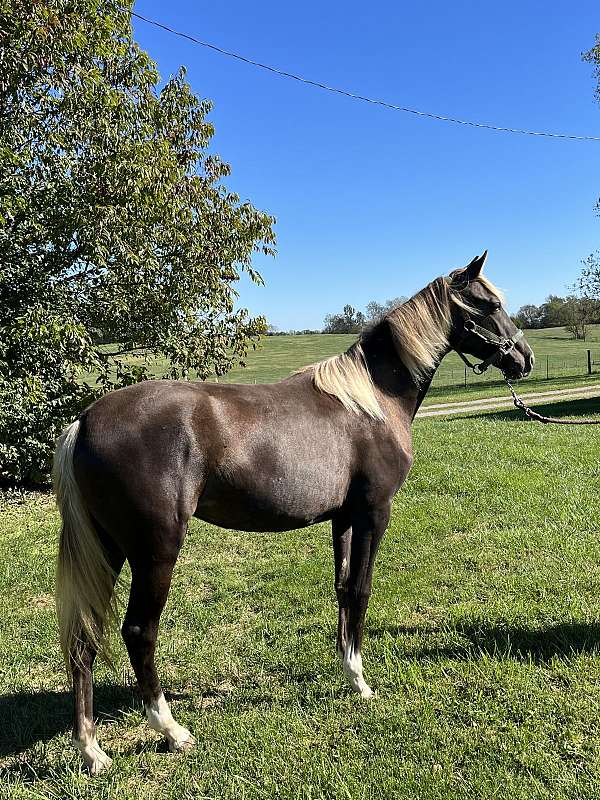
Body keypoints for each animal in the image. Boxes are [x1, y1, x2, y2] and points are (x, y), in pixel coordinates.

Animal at [52, 252, 536, 776]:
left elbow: (343, 591)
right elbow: (361, 591)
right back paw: (172, 731)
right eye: (489, 305)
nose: (524, 358)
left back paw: (91, 749)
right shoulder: (374, 513)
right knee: (139, 632)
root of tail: (85, 421)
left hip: (107, 550)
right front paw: (363, 683)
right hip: (154, 553)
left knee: (84, 638)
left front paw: (348, 672)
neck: (372, 401)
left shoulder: (344, 519)